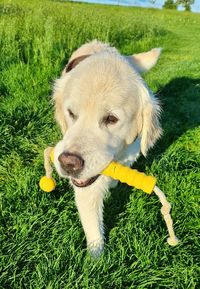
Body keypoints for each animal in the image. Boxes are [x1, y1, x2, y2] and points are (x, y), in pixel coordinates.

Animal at [52, 40, 162, 256]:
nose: (68, 163)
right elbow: (93, 225)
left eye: (111, 119)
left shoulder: (130, 153)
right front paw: (96, 257)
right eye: (71, 113)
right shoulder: (87, 186)